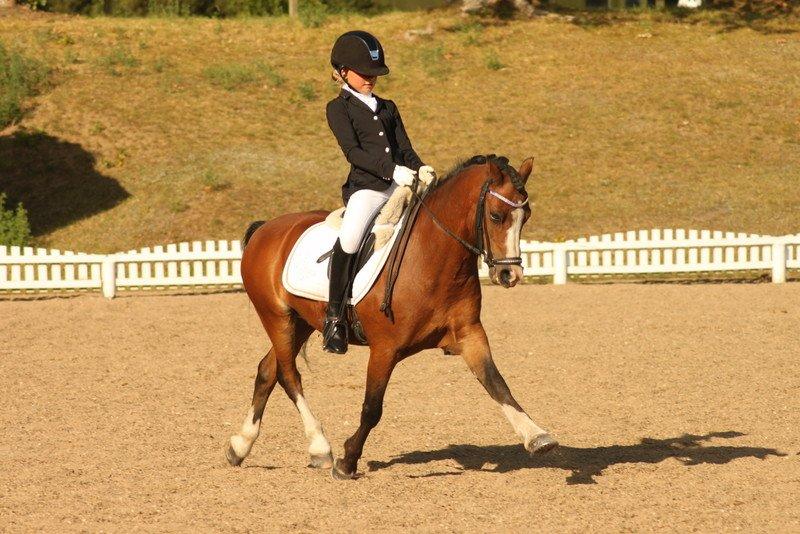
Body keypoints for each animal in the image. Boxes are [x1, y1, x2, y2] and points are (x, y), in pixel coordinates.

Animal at [225, 154, 558, 479]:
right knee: (288, 374)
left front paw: (537, 436)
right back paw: (319, 447)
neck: (433, 256)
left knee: (268, 370)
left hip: (301, 322)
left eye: (526, 216)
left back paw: (240, 446)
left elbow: (496, 382)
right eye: (496, 216)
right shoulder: (385, 349)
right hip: (277, 317)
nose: (510, 274)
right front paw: (347, 461)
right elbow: (372, 408)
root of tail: (266, 228)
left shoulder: (469, 334)